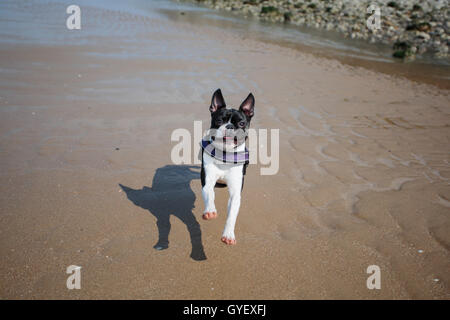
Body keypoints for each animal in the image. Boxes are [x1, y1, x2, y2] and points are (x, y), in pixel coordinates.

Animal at [200, 88, 253, 245]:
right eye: (218, 121)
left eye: (241, 123)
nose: (229, 126)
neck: (225, 154)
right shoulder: (208, 181)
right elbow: (209, 194)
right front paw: (210, 211)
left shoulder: (235, 193)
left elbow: (232, 215)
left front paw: (228, 234)